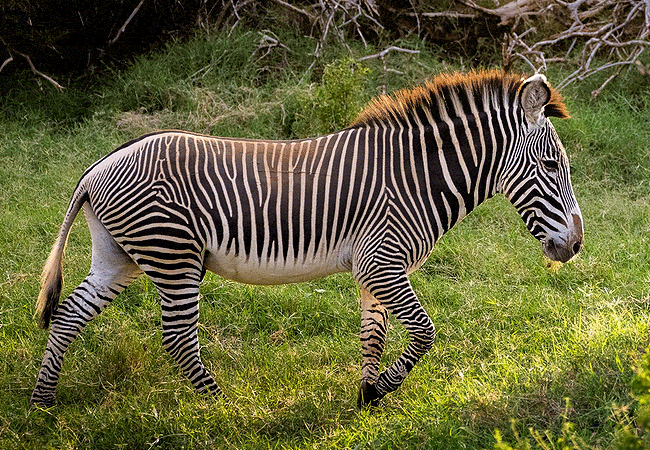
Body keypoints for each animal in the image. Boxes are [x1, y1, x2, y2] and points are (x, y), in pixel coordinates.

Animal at [31, 70, 583, 408]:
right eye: (551, 165)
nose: (577, 246)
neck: (417, 177)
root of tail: (99, 165)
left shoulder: (375, 268)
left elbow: (373, 335)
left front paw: (365, 397)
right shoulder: (383, 261)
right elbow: (424, 333)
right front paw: (380, 392)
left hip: (119, 256)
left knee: (68, 317)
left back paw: (44, 404)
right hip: (174, 256)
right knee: (178, 339)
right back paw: (221, 407)